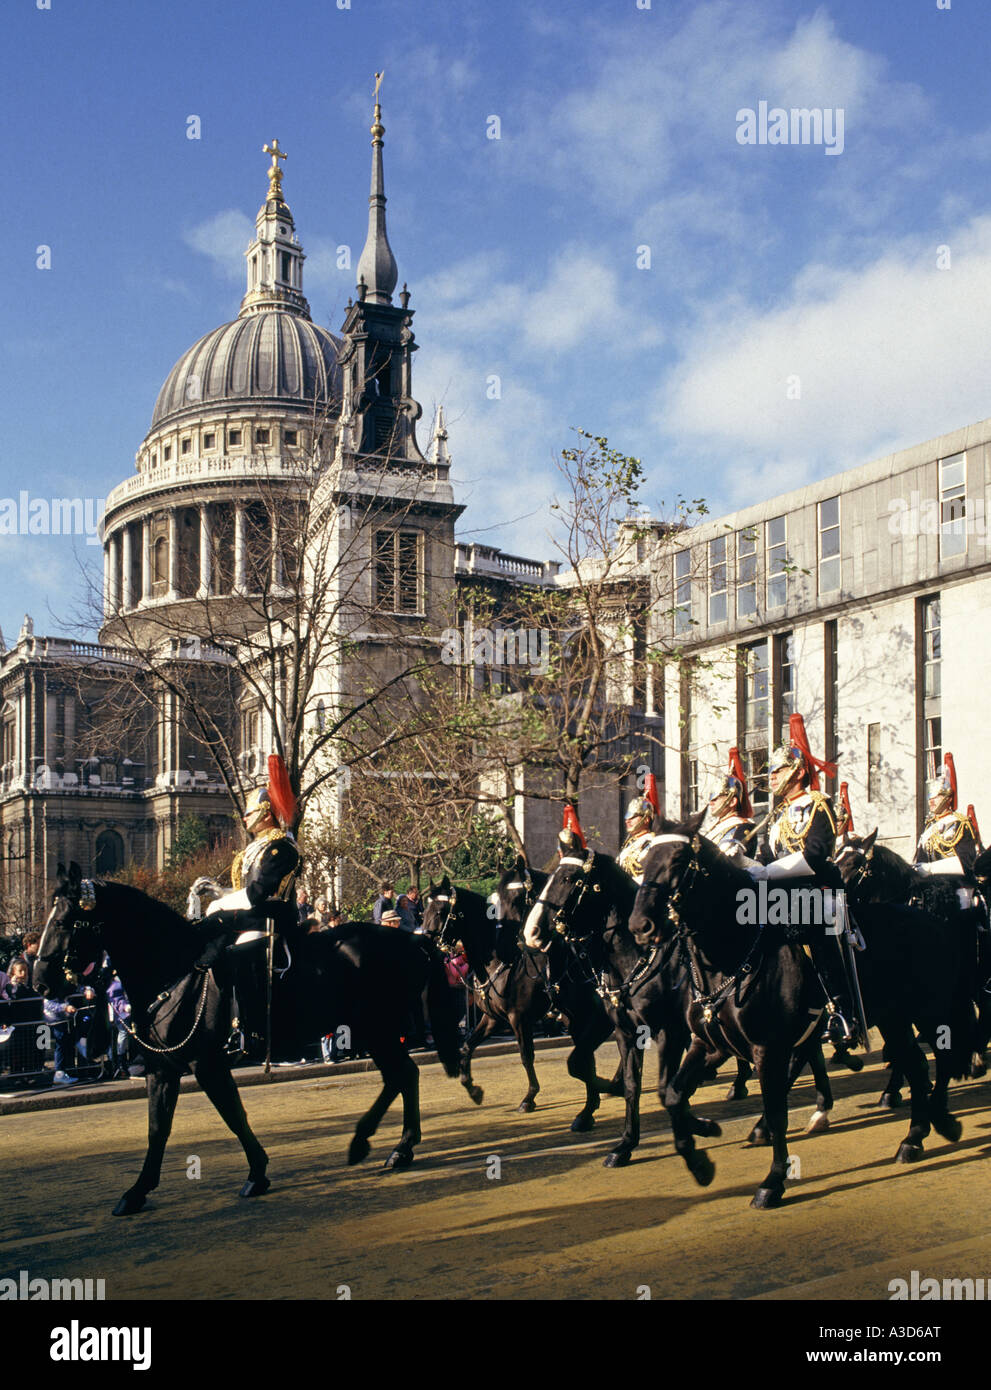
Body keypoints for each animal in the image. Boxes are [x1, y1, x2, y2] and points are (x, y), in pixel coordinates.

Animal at [34, 861, 458, 1212]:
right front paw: (137, 1191)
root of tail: (414, 939)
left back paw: (375, 1144)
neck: (175, 971)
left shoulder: (206, 1064)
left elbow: (233, 1116)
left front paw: (257, 1173)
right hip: (375, 1031)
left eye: (65, 921)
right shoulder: (162, 1068)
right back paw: (395, 1148)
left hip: (377, 1029)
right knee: (403, 1076)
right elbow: (157, 1129)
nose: (41, 981)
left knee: (401, 1076)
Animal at [422, 872, 622, 1134]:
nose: (424, 942)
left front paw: (529, 1098)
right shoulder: (492, 1019)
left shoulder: (519, 1018)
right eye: (423, 910)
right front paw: (473, 1090)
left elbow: (526, 1056)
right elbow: (466, 1047)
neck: (497, 961)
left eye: (440, 910)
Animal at [625, 811, 967, 1206]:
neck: (730, 957)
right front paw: (701, 1151)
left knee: (941, 1059)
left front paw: (772, 1181)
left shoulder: (767, 1049)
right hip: (894, 1020)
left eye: (679, 860)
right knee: (915, 1064)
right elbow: (672, 1095)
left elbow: (776, 1113)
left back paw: (942, 1121)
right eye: (646, 860)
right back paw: (913, 1138)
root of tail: (930, 918)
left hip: (930, 1013)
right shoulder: (707, 1044)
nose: (640, 926)